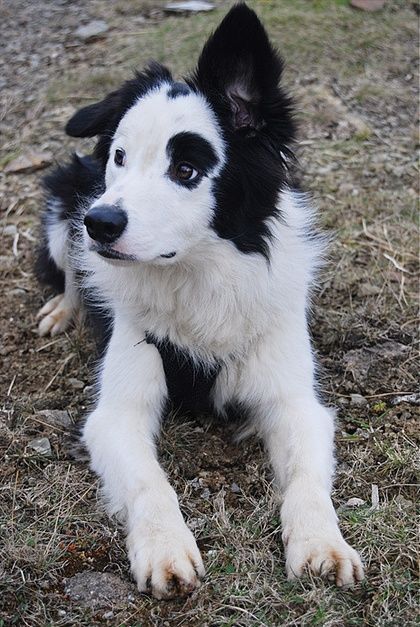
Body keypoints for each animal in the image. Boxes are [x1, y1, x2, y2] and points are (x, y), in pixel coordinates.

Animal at [36, 3, 364, 600]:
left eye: (185, 169)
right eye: (119, 157)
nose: (101, 224)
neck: (197, 278)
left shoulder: (294, 400)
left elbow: (307, 480)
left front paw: (323, 545)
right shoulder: (116, 413)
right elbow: (150, 482)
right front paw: (165, 549)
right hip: (64, 205)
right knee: (70, 269)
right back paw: (62, 309)